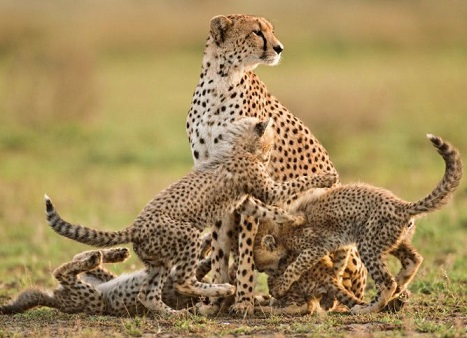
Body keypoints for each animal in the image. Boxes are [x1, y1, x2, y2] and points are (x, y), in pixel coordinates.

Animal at [44, 117, 336, 316]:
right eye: (270, 141)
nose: (269, 154)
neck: (236, 146)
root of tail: (134, 226)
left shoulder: (245, 202)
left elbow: (270, 210)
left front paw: (294, 219)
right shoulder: (266, 189)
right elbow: (293, 185)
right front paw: (326, 178)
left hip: (159, 261)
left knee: (147, 295)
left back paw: (173, 314)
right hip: (187, 237)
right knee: (183, 281)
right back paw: (221, 290)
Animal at [186, 13, 348, 314]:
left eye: (271, 30)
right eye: (256, 32)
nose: (280, 48)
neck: (221, 81)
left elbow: (247, 249)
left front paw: (243, 301)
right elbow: (220, 247)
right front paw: (215, 301)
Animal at [238, 133, 464, 312]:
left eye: (266, 268)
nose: (268, 274)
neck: (280, 232)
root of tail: (402, 205)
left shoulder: (314, 245)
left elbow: (296, 265)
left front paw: (280, 287)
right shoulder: (336, 242)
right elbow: (337, 265)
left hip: (368, 243)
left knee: (386, 281)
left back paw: (369, 307)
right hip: (392, 239)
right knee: (414, 259)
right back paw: (399, 288)